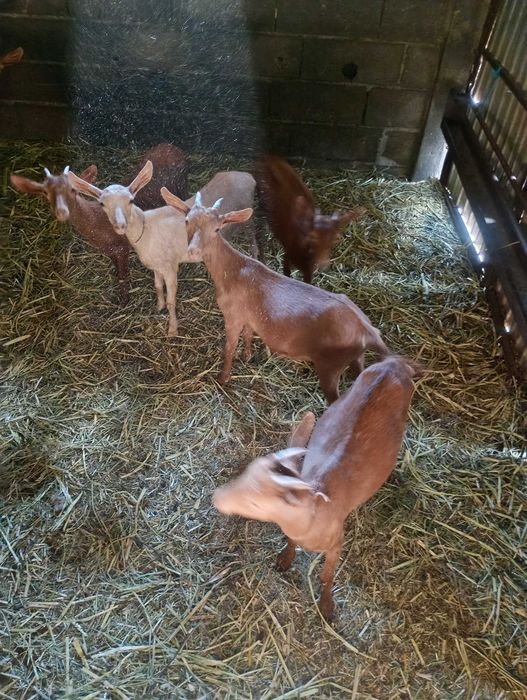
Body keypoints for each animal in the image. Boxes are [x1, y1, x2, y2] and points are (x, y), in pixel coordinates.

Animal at [68, 163, 260, 337]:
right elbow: (158, 286)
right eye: (102, 204)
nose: (120, 225)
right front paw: (158, 307)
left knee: (252, 233)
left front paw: (172, 330)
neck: (146, 229)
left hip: (248, 214)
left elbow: (171, 301)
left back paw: (256, 254)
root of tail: (247, 176)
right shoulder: (156, 265)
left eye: (131, 200)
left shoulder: (170, 267)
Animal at [160, 190, 388, 402]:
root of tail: (369, 331)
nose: (193, 252)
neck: (233, 270)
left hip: (331, 366)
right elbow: (248, 334)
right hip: (356, 358)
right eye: (187, 221)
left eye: (217, 229)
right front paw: (248, 355)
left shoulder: (233, 316)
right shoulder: (249, 316)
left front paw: (223, 378)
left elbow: (229, 347)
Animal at [213, 355, 417, 621]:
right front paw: (284, 560)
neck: (312, 521)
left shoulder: (337, 542)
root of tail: (395, 363)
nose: (216, 497)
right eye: (245, 473)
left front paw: (327, 607)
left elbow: (326, 576)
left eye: (254, 502)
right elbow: (290, 545)